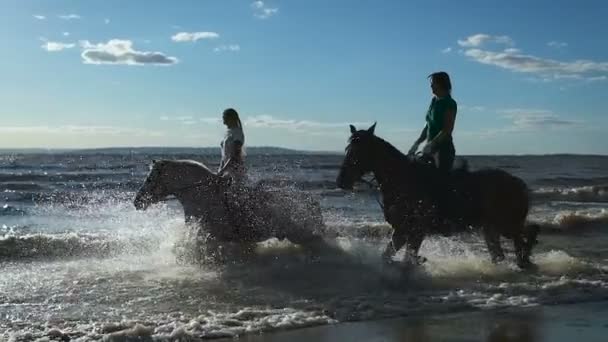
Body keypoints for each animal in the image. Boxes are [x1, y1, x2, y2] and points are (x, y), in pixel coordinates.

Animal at [134, 159, 328, 260]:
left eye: (150, 179)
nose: (137, 201)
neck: (202, 196)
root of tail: (311, 200)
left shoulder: (209, 236)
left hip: (301, 233)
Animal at [334, 123, 540, 270]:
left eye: (359, 152)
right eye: (347, 149)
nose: (341, 181)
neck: (403, 179)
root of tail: (518, 183)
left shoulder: (416, 231)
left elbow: (407, 259)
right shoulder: (401, 231)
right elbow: (387, 256)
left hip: (506, 225)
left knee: (527, 233)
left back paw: (525, 258)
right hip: (491, 227)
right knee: (501, 253)